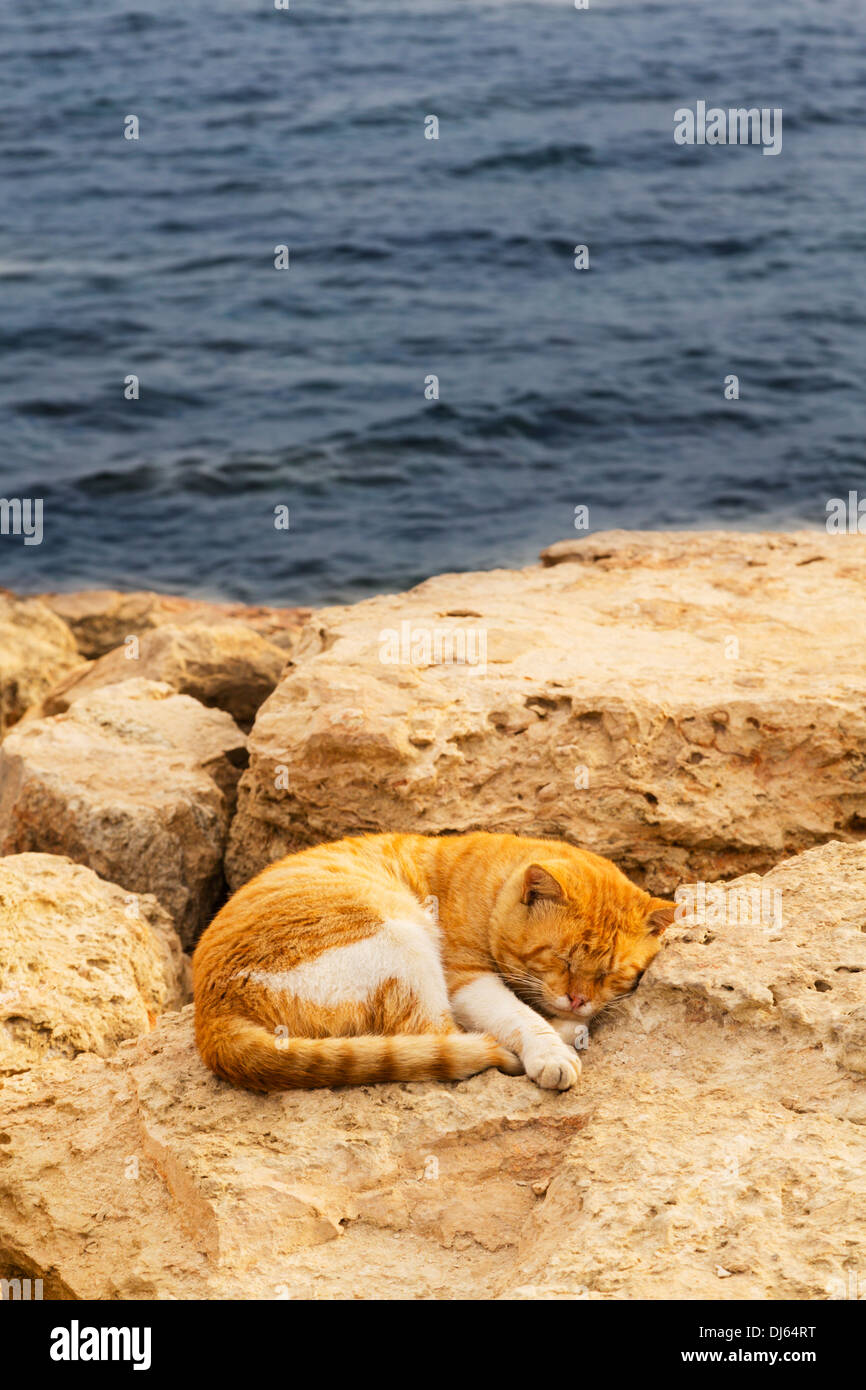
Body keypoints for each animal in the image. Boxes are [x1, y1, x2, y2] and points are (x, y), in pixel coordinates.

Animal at [193, 828, 675, 1089]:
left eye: (611, 975)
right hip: (399, 934)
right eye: (561, 960)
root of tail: (212, 1018)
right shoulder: (465, 979)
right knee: (436, 1035)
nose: (578, 1000)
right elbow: (520, 1016)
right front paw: (551, 1051)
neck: (495, 883)